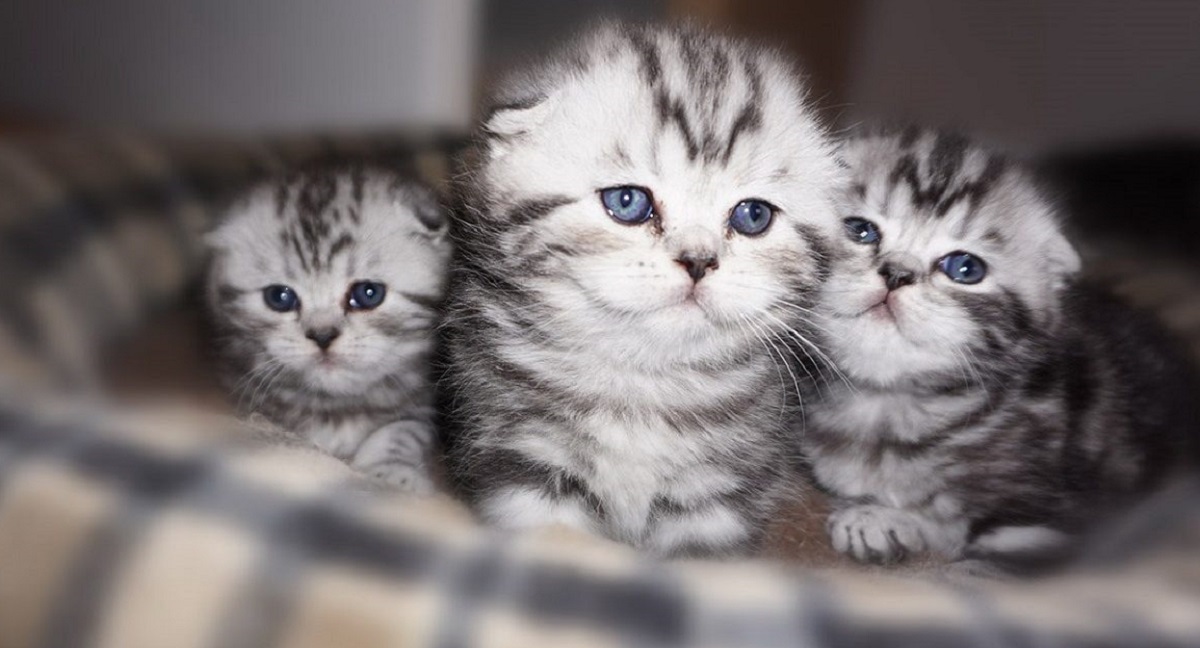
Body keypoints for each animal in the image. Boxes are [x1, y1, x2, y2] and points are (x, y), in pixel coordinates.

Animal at [206, 165, 451, 492]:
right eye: (279, 297)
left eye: (368, 293)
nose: (322, 336)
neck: (337, 408)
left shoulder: (426, 404)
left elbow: (402, 430)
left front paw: (391, 473)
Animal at [441, 24, 844, 556]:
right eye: (628, 202)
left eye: (753, 215)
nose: (698, 261)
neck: (641, 384)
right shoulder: (524, 460)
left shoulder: (716, 491)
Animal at [796, 129, 1200, 568]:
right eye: (860, 230)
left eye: (965, 269)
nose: (897, 273)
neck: (887, 405)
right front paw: (877, 518)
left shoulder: (1041, 524)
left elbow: (972, 570)